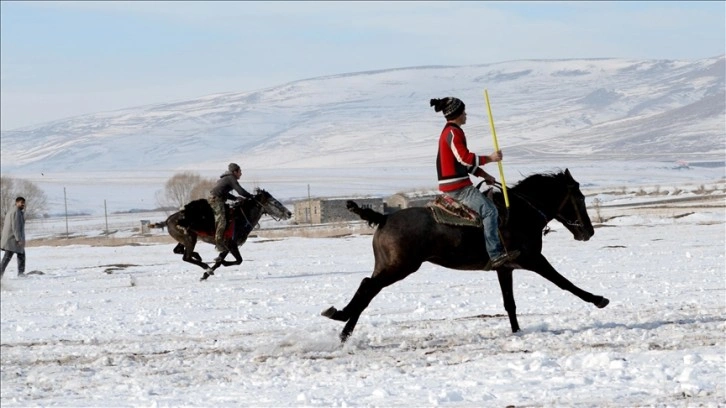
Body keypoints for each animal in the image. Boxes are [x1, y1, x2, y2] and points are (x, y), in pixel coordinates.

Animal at [152, 188, 292, 280]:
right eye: (274, 202)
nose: (289, 213)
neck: (241, 218)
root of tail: (168, 220)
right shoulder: (231, 244)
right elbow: (238, 260)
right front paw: (211, 269)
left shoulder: (227, 246)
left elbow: (221, 261)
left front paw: (206, 274)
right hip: (190, 239)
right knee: (186, 257)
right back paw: (204, 264)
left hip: (184, 239)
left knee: (178, 251)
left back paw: (198, 257)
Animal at [322, 168, 612, 342]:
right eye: (580, 197)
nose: (588, 232)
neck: (520, 213)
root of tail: (383, 217)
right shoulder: (532, 259)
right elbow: (564, 282)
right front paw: (599, 299)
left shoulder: (505, 267)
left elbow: (510, 302)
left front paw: (516, 332)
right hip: (399, 267)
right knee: (368, 287)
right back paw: (341, 321)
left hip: (388, 266)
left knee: (366, 288)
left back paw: (343, 328)